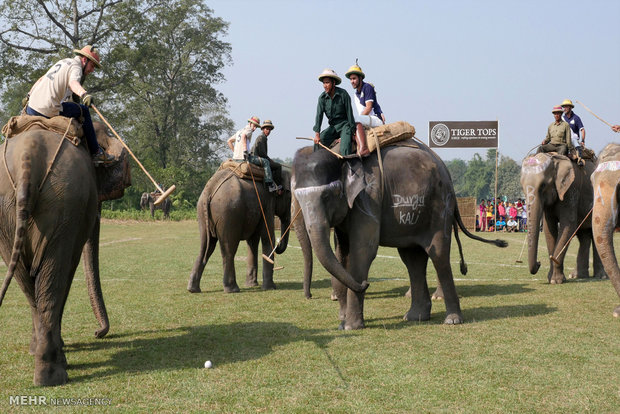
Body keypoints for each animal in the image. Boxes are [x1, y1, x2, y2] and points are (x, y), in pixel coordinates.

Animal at [0, 121, 131, 386]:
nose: (97, 333)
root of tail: (28, 155)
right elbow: (68, 269)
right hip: (61, 205)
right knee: (52, 276)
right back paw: (54, 374)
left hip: (26, 211)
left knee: (28, 281)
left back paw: (45, 364)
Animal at [188, 163, 292, 292]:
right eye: (290, 197)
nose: (278, 245)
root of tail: (210, 190)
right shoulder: (268, 204)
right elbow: (267, 237)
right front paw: (270, 288)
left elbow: (253, 241)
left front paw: (252, 285)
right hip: (228, 213)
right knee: (229, 250)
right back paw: (232, 289)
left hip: (202, 214)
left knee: (206, 246)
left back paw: (193, 289)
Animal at [290, 143, 504, 330]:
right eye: (297, 197)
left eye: (326, 196)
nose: (366, 284)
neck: (340, 155)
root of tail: (446, 171)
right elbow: (343, 254)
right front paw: (342, 322)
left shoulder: (369, 198)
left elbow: (363, 252)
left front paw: (350, 326)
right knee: (413, 259)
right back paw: (415, 317)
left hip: (440, 207)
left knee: (438, 255)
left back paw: (451, 320)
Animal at [520, 153, 604, 284]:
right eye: (522, 187)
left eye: (543, 185)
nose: (539, 263)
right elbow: (549, 228)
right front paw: (551, 279)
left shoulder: (571, 189)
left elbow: (568, 225)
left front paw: (556, 280)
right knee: (584, 236)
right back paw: (577, 276)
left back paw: (601, 276)